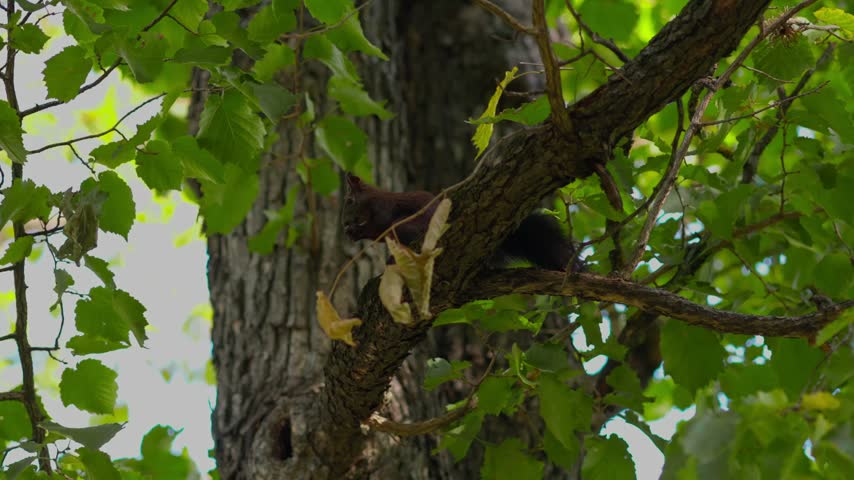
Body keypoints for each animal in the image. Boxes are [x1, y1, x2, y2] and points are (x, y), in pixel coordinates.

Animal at [342, 173, 579, 271]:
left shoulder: (384, 208)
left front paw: (356, 228)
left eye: (349, 200)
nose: (344, 226)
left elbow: (381, 222)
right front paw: (353, 233)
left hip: (411, 226)